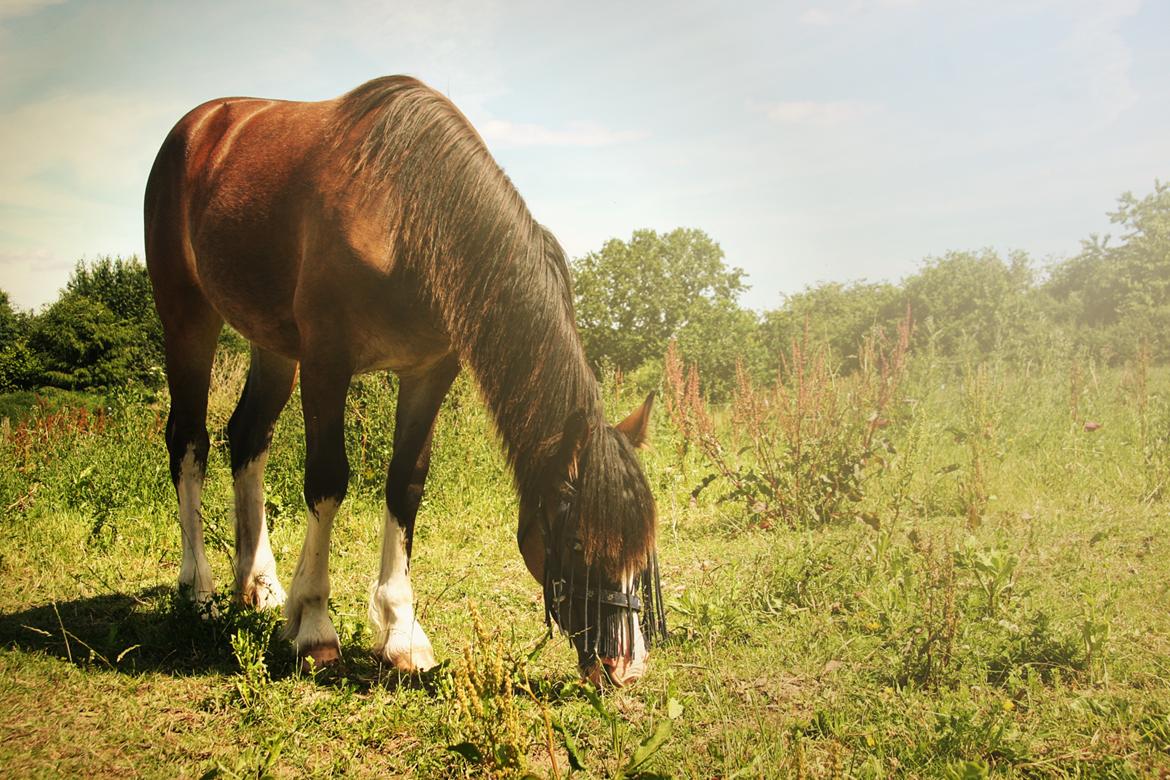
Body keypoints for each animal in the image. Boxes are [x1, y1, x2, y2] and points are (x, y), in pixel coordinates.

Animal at [141, 73, 664, 682]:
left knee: (248, 438)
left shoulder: (430, 371)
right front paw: (314, 628)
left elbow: (405, 485)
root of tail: (201, 125)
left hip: (271, 343)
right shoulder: (326, 361)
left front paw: (401, 634)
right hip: (188, 318)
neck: (406, 214)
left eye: (643, 549)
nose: (625, 665)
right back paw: (198, 590)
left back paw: (259, 586)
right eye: (578, 542)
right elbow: (327, 481)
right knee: (189, 442)